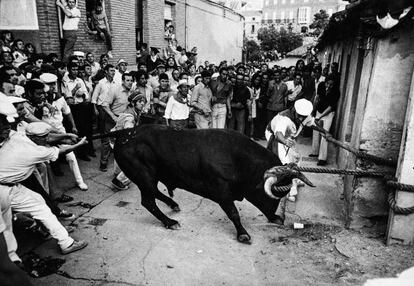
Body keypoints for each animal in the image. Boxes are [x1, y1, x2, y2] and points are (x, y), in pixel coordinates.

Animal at [99, 124, 314, 242]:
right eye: (275, 193)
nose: (277, 213)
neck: (238, 158)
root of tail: (124, 132)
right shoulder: (222, 192)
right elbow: (233, 213)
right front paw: (243, 234)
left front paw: (274, 218)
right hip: (143, 175)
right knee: (148, 201)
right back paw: (170, 222)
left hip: (152, 176)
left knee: (154, 194)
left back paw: (173, 205)